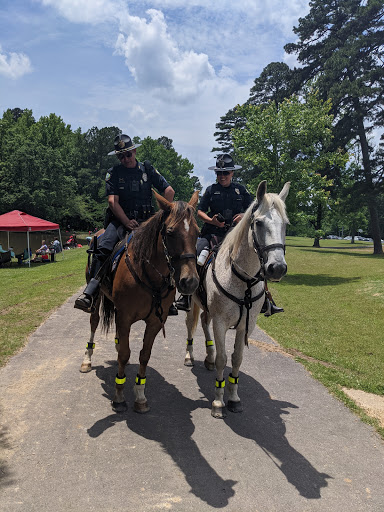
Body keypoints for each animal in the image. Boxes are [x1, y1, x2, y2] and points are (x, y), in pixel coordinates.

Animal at [79, 191, 200, 412]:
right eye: (170, 232)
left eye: (197, 232)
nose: (190, 281)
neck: (149, 274)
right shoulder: (125, 317)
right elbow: (125, 354)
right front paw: (119, 396)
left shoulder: (154, 322)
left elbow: (144, 354)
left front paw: (140, 396)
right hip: (96, 299)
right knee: (94, 322)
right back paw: (87, 360)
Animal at [184, 182, 290, 418]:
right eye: (258, 222)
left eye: (286, 224)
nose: (277, 268)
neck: (243, 281)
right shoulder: (220, 322)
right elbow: (223, 358)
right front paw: (218, 401)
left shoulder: (246, 326)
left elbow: (236, 358)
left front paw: (233, 398)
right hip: (193, 303)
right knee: (191, 325)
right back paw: (189, 356)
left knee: (203, 322)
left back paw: (208, 357)